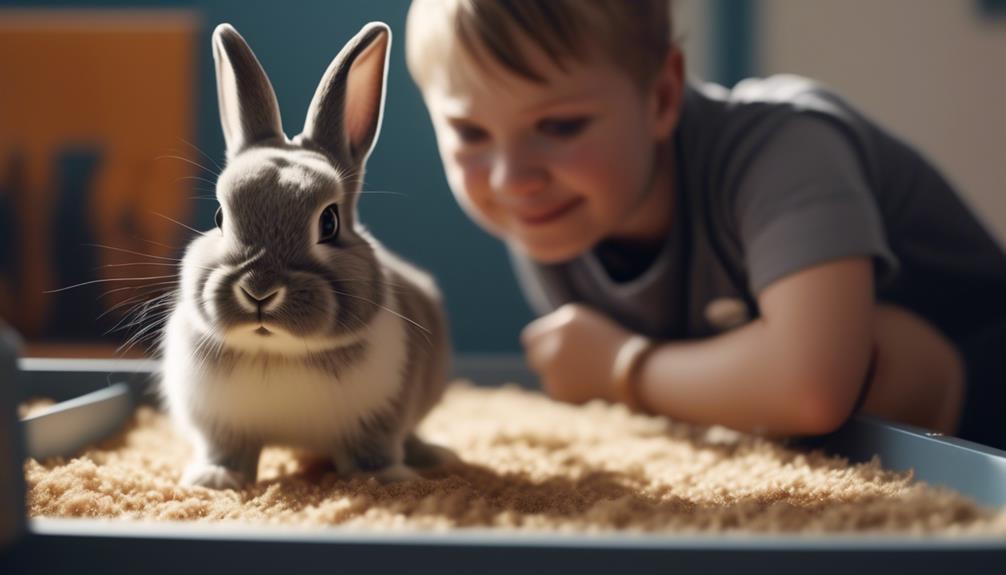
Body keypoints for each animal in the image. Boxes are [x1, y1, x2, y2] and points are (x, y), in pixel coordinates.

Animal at [158, 22, 454, 490]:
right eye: (220, 217)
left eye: (329, 222)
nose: (259, 290)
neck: (279, 353)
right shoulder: (220, 427)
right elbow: (225, 451)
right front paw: (214, 480)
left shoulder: (378, 422)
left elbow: (373, 452)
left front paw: (386, 480)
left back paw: (432, 457)